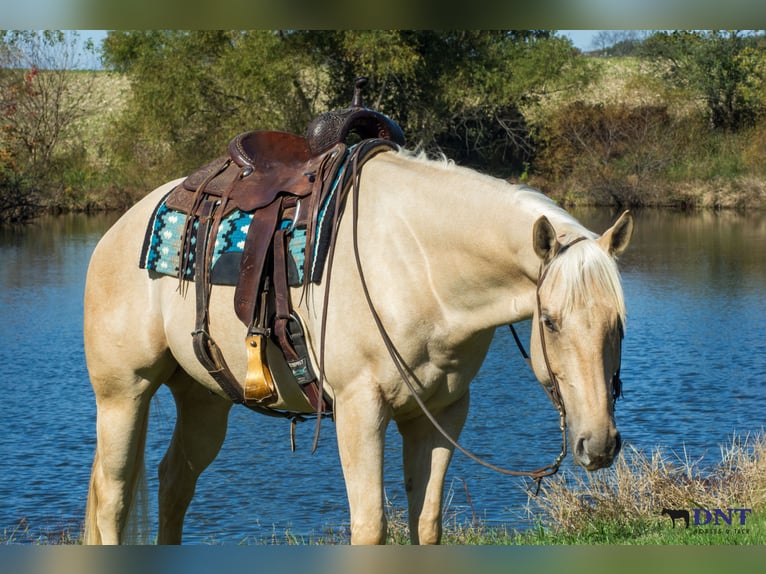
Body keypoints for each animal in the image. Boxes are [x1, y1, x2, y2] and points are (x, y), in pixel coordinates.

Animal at [82, 148, 633, 545]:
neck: (418, 265)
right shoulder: (359, 409)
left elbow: (426, 523)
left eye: (619, 325)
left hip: (204, 401)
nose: (599, 445)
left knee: (174, 483)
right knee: (112, 499)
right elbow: (371, 528)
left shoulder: (441, 415)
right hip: (123, 395)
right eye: (550, 322)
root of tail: (118, 230)